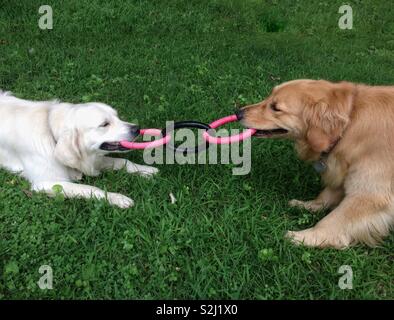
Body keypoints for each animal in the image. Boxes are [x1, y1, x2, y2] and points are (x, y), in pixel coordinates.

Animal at [0, 89, 158, 208]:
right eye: (104, 124)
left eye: (117, 116)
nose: (137, 129)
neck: (51, 133)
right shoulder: (46, 183)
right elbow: (91, 188)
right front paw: (117, 198)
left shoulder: (92, 157)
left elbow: (124, 162)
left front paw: (146, 170)